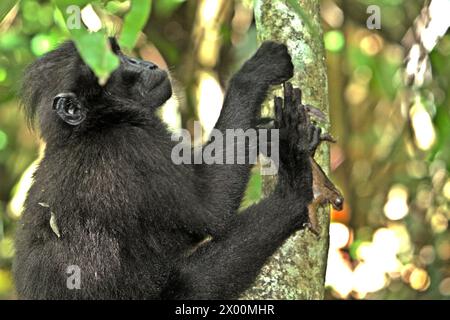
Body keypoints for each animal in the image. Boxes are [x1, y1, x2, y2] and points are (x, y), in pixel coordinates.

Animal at [13, 38, 316, 300]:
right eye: (112, 61)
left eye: (120, 52)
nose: (143, 63)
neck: (88, 128)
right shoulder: (134, 145)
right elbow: (213, 209)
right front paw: (255, 72)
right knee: (194, 279)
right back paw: (293, 184)